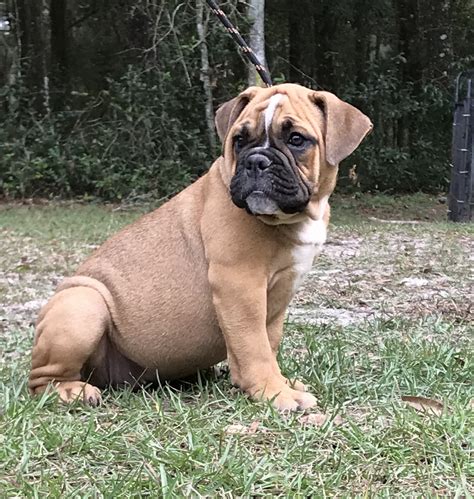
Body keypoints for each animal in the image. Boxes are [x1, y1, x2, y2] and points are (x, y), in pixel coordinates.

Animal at [27, 84, 372, 412]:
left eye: (297, 139)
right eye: (239, 140)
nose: (256, 161)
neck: (293, 217)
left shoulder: (277, 296)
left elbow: (267, 341)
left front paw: (274, 383)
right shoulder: (240, 286)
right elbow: (255, 346)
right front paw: (275, 392)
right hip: (83, 305)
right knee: (41, 380)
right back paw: (70, 391)